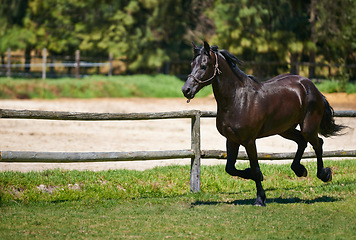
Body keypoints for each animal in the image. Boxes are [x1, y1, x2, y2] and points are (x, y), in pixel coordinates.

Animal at [182, 41, 344, 206]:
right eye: (192, 64)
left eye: (204, 66)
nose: (186, 90)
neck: (237, 99)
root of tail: (312, 87)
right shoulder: (232, 140)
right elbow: (230, 168)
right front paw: (254, 178)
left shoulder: (249, 140)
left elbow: (254, 168)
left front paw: (260, 198)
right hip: (285, 129)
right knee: (303, 142)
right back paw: (300, 170)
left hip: (308, 127)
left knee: (318, 144)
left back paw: (324, 174)